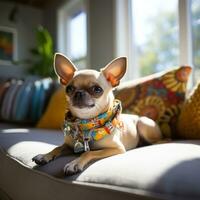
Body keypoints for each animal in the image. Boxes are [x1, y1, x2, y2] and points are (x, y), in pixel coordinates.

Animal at [32, 53, 162, 175]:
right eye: (69, 89)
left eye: (97, 90)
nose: (79, 93)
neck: (87, 124)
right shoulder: (69, 146)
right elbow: (57, 147)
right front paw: (44, 156)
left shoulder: (116, 148)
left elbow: (88, 153)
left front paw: (74, 164)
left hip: (143, 124)